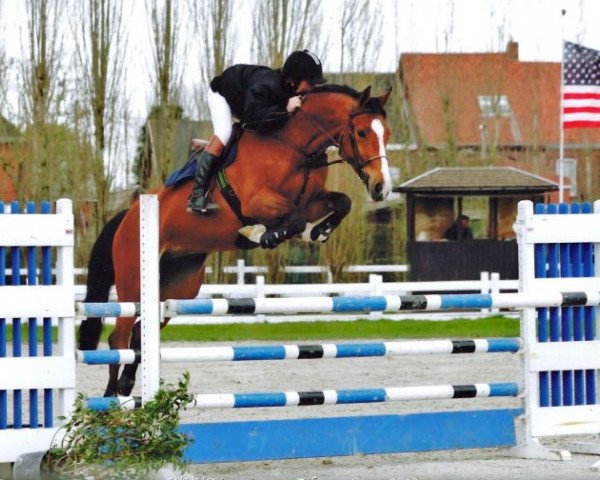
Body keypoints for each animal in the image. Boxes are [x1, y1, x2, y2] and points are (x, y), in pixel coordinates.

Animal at [76, 83, 394, 398]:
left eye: (388, 134)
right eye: (362, 132)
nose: (381, 188)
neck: (292, 147)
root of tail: (127, 216)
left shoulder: (311, 201)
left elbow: (341, 203)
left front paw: (319, 231)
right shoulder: (257, 202)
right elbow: (291, 220)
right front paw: (263, 234)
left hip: (176, 289)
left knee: (140, 334)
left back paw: (127, 385)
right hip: (133, 282)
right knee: (119, 338)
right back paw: (111, 396)